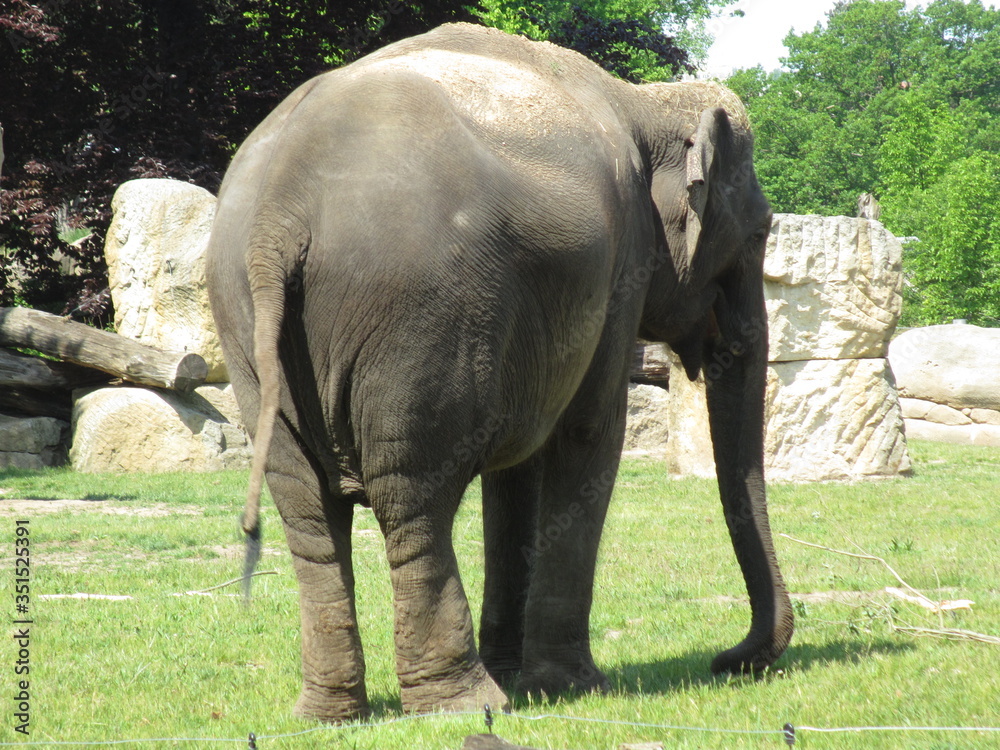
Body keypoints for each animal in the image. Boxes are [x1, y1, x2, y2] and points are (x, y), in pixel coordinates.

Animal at [205, 22, 793, 723]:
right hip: (415, 316)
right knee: (412, 497)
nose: (729, 662)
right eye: (759, 233)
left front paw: (524, 675)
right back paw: (463, 703)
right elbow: (587, 434)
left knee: (305, 506)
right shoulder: (622, 264)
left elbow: (520, 470)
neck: (643, 100)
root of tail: (282, 210)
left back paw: (329, 712)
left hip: (247, 323)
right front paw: (573, 685)